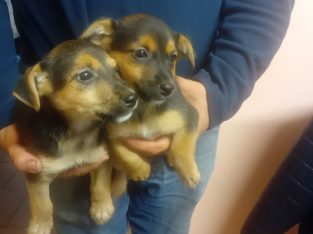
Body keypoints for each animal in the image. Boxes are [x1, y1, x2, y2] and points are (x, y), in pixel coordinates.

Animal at [12, 39, 136, 234]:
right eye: (85, 75)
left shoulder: (102, 157)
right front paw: (40, 225)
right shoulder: (36, 173)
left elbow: (100, 184)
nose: (133, 98)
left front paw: (102, 207)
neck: (78, 132)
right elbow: (43, 204)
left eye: (116, 70)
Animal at [80, 14, 200, 186]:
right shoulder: (112, 134)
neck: (143, 105)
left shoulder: (189, 114)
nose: (169, 88)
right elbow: (124, 154)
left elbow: (182, 145)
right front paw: (140, 170)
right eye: (140, 53)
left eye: (173, 57)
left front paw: (188, 172)